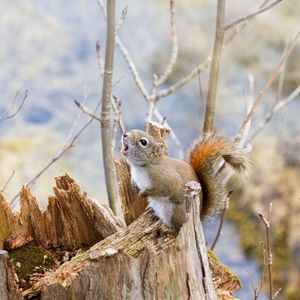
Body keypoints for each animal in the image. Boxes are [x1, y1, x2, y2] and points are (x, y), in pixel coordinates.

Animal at [120, 129, 250, 232]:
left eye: (143, 142)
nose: (125, 134)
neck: (142, 166)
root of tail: (199, 218)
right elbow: (135, 182)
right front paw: (135, 186)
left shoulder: (165, 180)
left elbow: (161, 190)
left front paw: (143, 193)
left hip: (176, 212)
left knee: (177, 229)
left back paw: (167, 228)